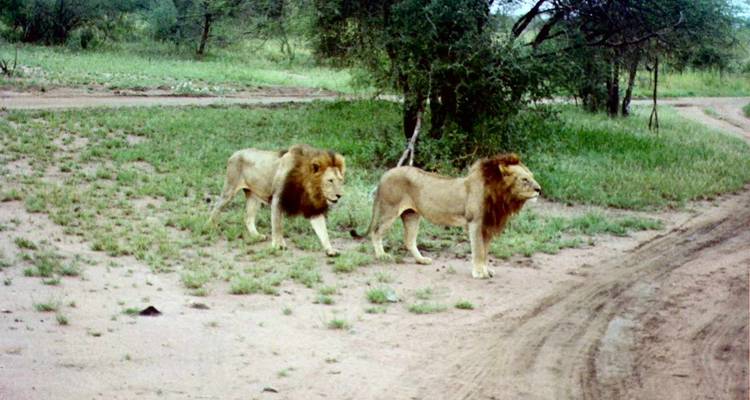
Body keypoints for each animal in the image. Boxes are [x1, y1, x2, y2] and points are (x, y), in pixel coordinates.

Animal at [208, 144, 345, 256]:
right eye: (330, 180)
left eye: (340, 180)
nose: (339, 195)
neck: (309, 188)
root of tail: (236, 152)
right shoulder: (277, 199)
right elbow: (277, 226)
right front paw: (279, 245)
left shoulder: (313, 208)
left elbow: (323, 231)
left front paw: (330, 249)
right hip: (229, 190)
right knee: (215, 208)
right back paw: (210, 228)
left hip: (254, 197)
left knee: (248, 218)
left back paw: (257, 236)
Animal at [352, 154, 540, 278]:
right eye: (524, 180)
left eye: (532, 177)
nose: (539, 189)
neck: (502, 196)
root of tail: (385, 174)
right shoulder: (475, 223)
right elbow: (478, 250)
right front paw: (479, 273)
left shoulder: (486, 227)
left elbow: (485, 251)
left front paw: (486, 270)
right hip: (390, 210)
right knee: (376, 232)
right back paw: (382, 256)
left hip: (411, 215)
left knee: (409, 240)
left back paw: (421, 260)